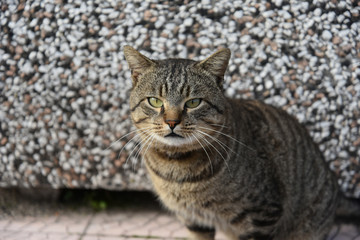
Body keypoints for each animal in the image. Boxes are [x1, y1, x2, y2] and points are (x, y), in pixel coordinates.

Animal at [124, 45, 340, 240]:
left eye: (193, 102)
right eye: (154, 101)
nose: (171, 122)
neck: (176, 166)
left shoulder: (263, 214)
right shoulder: (194, 220)